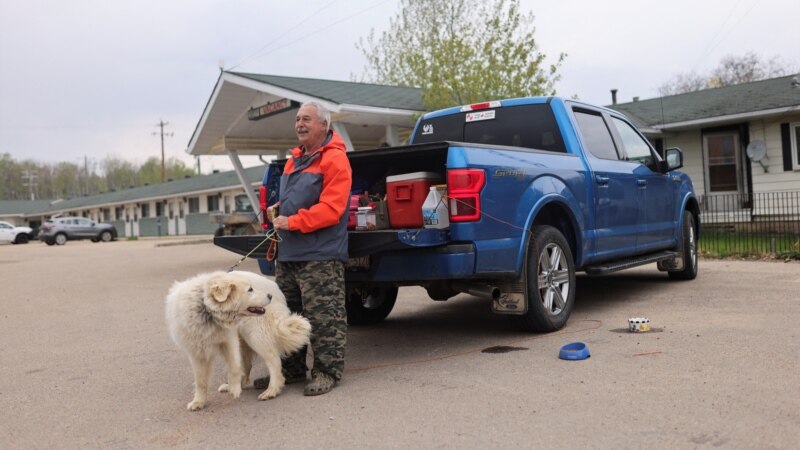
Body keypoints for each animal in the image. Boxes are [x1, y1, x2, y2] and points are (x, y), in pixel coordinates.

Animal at [165, 270, 310, 412]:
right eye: (250, 289)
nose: (269, 296)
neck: (206, 310)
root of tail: (274, 287)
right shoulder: (196, 352)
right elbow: (201, 381)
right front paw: (198, 402)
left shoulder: (229, 340)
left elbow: (234, 366)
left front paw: (235, 389)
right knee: (248, 364)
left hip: (255, 335)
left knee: (273, 361)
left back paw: (271, 390)